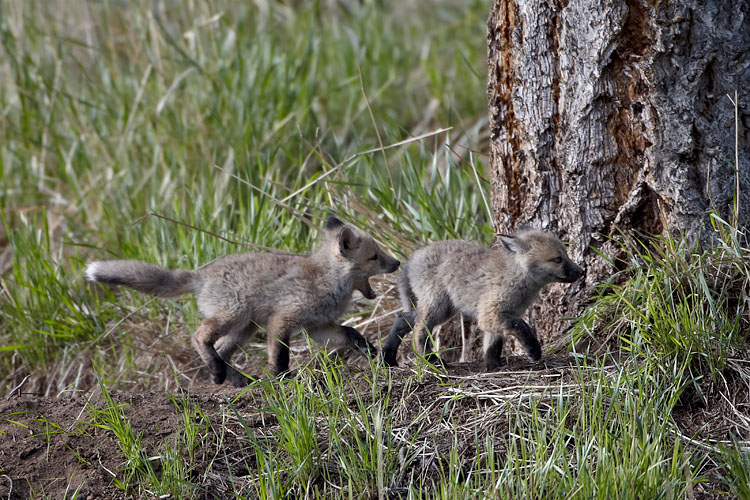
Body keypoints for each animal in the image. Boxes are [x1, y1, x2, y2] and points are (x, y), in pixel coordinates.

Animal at [85, 216, 400, 386]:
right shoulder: (282, 319)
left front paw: (375, 355)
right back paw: (222, 374)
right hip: (233, 316)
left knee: (221, 352)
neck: (327, 279)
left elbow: (351, 333)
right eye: (375, 257)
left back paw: (232, 379)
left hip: (244, 329)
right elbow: (280, 355)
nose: (397, 262)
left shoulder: (318, 326)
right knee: (198, 337)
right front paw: (281, 378)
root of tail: (200, 275)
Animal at [381, 229, 584, 371]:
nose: (582, 271)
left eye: (566, 256)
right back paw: (430, 360)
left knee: (403, 319)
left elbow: (493, 346)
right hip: (437, 306)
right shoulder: (490, 314)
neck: (516, 278)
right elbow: (522, 326)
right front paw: (534, 350)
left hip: (445, 310)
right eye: (557, 259)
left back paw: (387, 358)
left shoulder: (499, 315)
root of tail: (411, 259)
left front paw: (493, 367)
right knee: (419, 331)